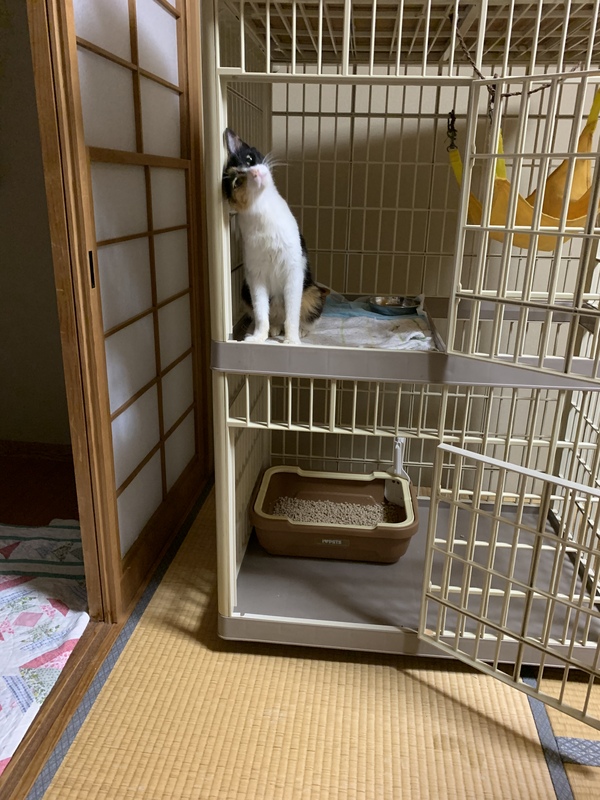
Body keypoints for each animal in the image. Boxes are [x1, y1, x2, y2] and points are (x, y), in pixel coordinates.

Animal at [222, 128, 325, 344]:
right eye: (237, 182)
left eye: (249, 158)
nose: (255, 172)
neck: (264, 213)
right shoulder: (255, 276)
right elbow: (261, 313)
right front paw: (257, 337)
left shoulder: (294, 270)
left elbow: (292, 313)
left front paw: (292, 340)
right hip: (245, 291)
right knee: (271, 316)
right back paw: (273, 329)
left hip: (312, 291)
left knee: (305, 314)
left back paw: (300, 330)